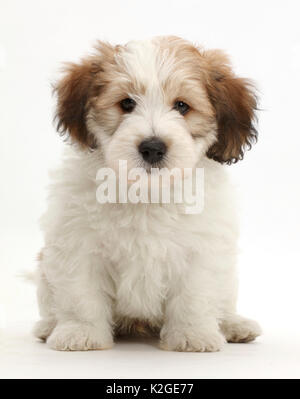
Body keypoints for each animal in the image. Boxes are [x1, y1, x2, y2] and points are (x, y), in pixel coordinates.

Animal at [34, 36, 262, 352]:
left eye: (182, 106)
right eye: (127, 103)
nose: (153, 147)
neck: (146, 193)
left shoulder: (202, 251)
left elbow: (194, 296)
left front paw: (192, 334)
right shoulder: (78, 246)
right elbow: (81, 295)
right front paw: (81, 332)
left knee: (223, 303)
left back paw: (233, 325)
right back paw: (48, 326)